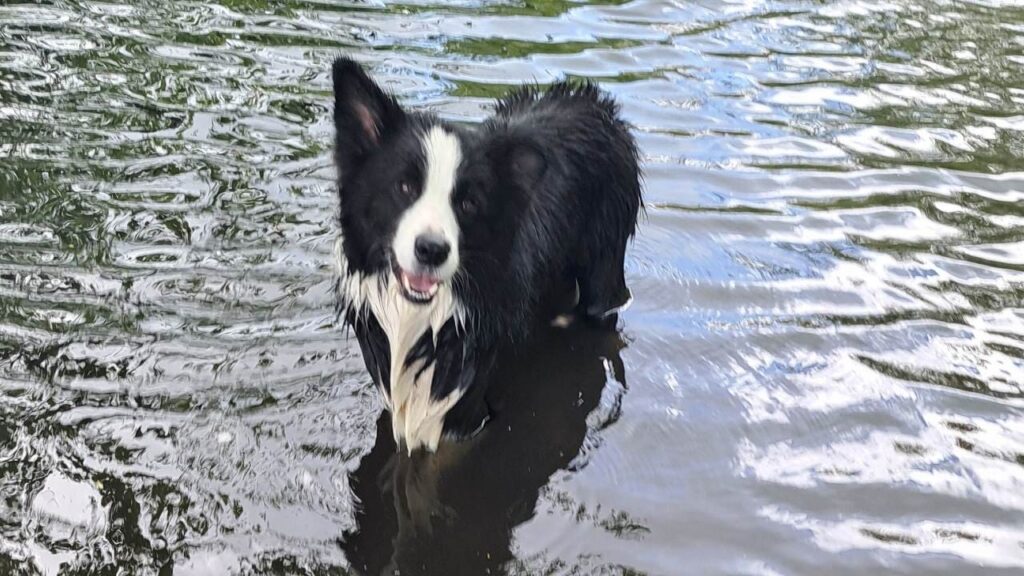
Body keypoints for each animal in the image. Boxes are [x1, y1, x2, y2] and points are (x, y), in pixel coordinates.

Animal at [331, 58, 638, 453]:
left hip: (605, 272)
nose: (432, 250)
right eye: (405, 186)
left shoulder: (466, 413)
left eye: (468, 203)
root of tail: (591, 99)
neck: (429, 317)